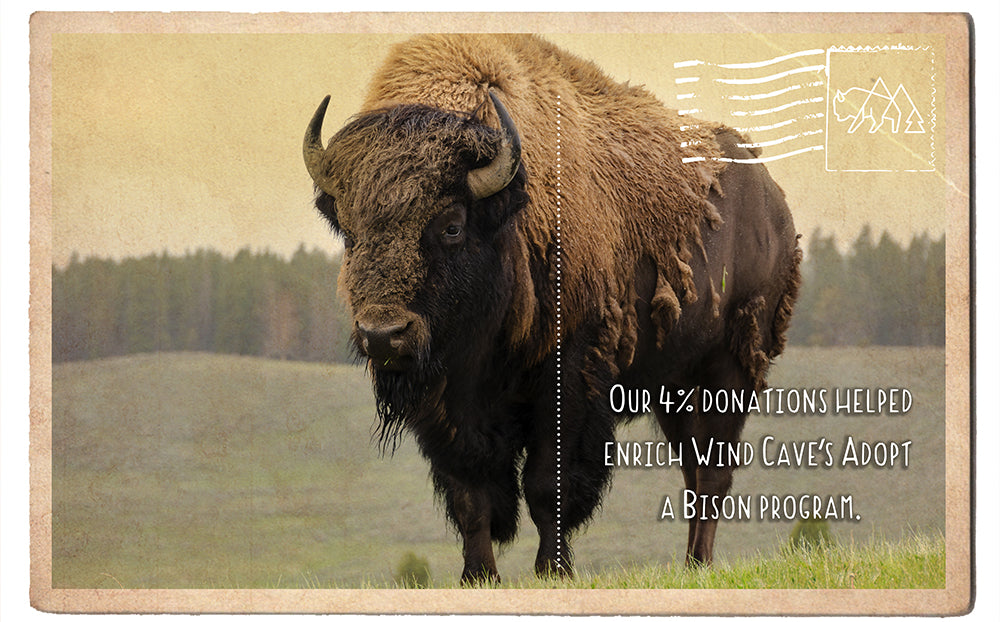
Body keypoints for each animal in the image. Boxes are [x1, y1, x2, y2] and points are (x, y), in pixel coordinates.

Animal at [303, 34, 800, 583]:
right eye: (349, 231)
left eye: (452, 225)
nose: (382, 334)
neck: (508, 218)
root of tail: (773, 203)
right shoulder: (448, 405)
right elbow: (471, 495)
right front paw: (479, 576)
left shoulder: (568, 378)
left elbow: (548, 486)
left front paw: (552, 571)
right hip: (674, 387)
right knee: (693, 473)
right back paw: (691, 566)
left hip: (728, 371)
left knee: (711, 476)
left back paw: (698, 564)